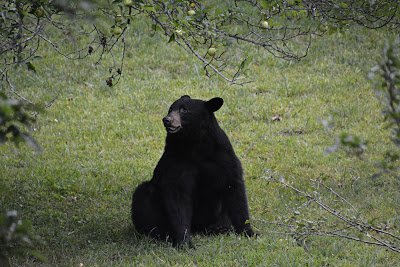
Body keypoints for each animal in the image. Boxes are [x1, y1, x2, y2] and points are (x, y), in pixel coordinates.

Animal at [133, 96, 255, 247]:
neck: (193, 143)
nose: (167, 120)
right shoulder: (176, 161)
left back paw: (219, 228)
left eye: (184, 110)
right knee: (143, 195)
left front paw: (248, 232)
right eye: (170, 109)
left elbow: (235, 188)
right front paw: (184, 242)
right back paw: (159, 234)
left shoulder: (223, 156)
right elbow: (177, 197)